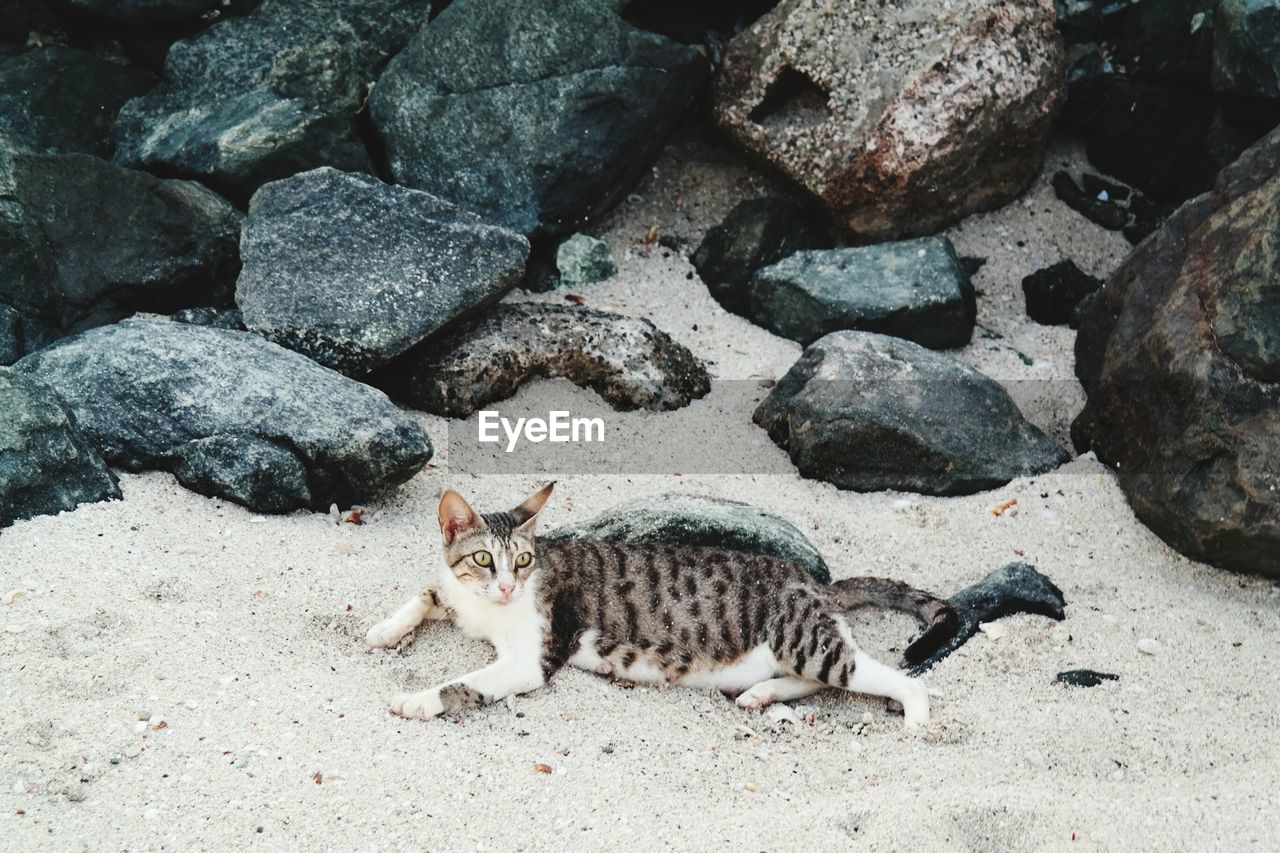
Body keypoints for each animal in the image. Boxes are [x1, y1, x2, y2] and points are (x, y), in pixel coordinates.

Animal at [366, 484, 957, 722]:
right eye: (485, 559)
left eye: (525, 560)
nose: (509, 586)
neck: (484, 608)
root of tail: (816, 584)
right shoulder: (455, 593)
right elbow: (426, 593)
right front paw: (383, 630)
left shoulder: (529, 659)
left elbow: (462, 683)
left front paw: (417, 700)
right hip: (794, 649)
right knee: (819, 679)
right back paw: (761, 695)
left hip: (805, 639)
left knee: (890, 678)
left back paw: (915, 725)